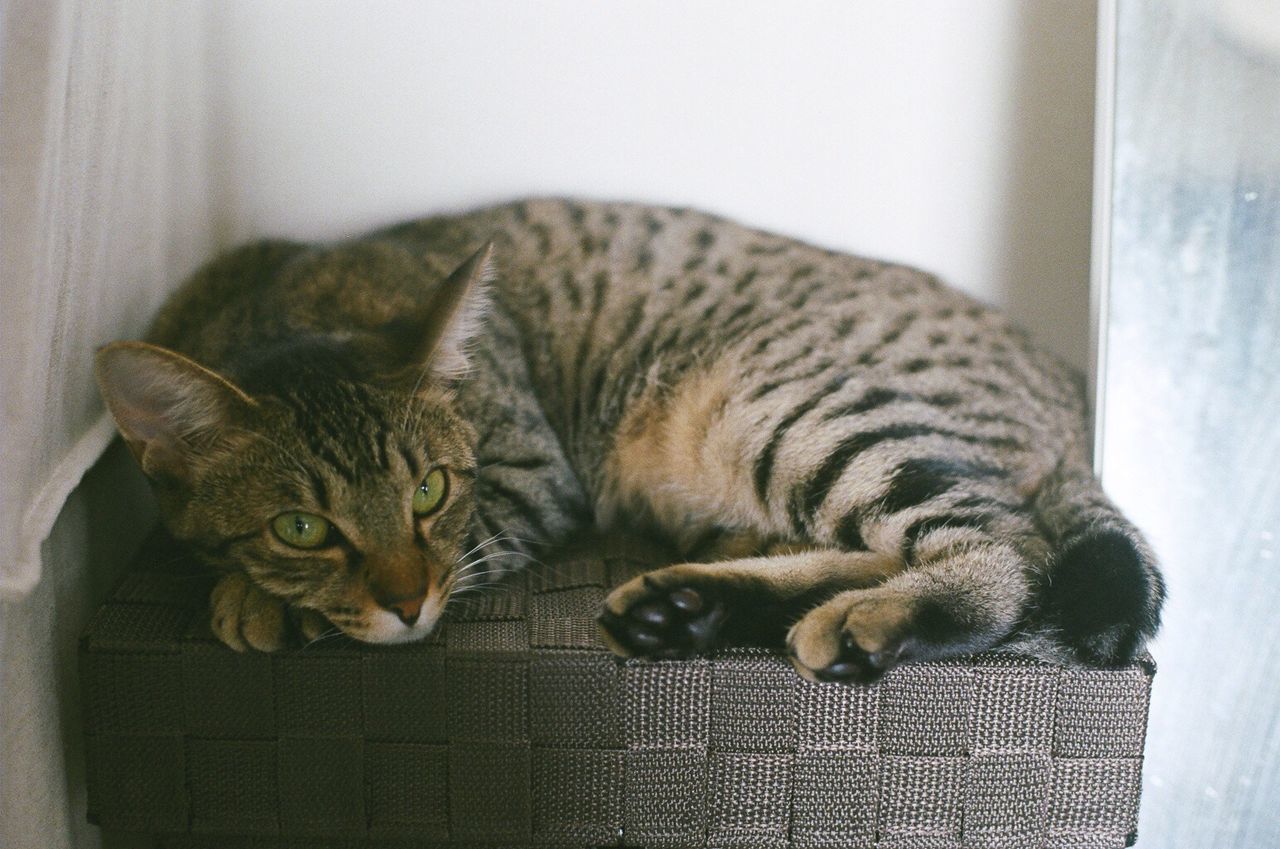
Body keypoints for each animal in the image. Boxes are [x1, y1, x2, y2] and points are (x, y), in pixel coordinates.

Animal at [94, 199, 1167, 686]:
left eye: (431, 493)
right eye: (303, 525)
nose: (401, 602)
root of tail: (1068, 387)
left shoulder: (526, 481)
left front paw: (259, 600)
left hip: (786, 405)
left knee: (1007, 550)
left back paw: (870, 620)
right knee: (875, 547)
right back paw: (689, 607)